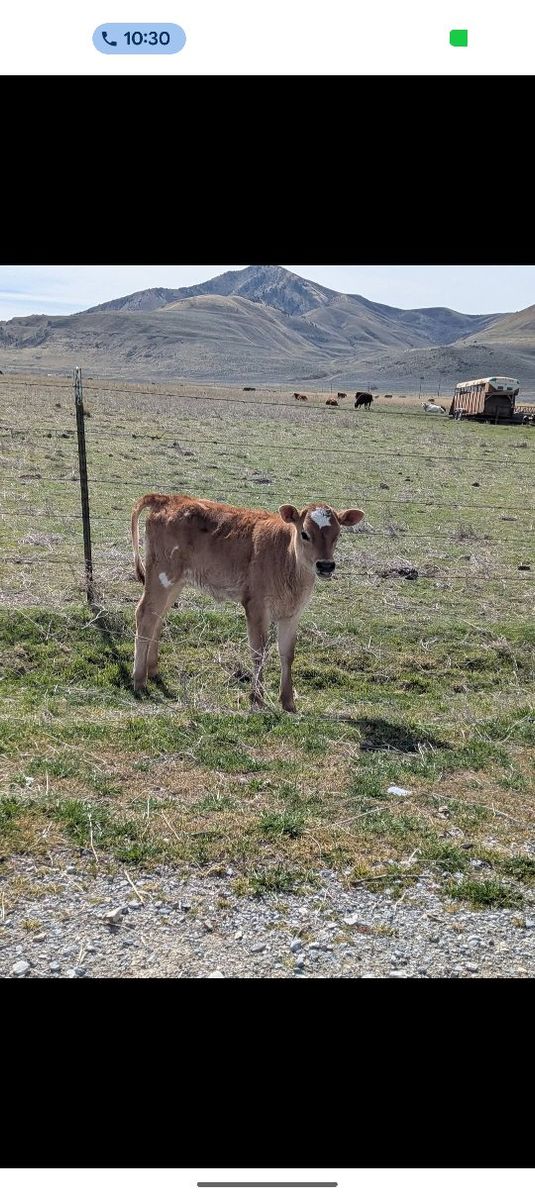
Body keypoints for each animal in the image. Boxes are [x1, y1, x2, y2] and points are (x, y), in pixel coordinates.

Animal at [130, 493, 364, 712]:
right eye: (305, 534)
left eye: (337, 535)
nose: (326, 566)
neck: (288, 561)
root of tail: (169, 498)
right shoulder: (257, 606)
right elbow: (258, 653)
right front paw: (257, 699)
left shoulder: (292, 613)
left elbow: (287, 654)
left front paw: (288, 702)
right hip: (161, 574)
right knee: (145, 614)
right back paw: (139, 679)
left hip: (176, 581)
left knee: (158, 616)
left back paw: (152, 670)